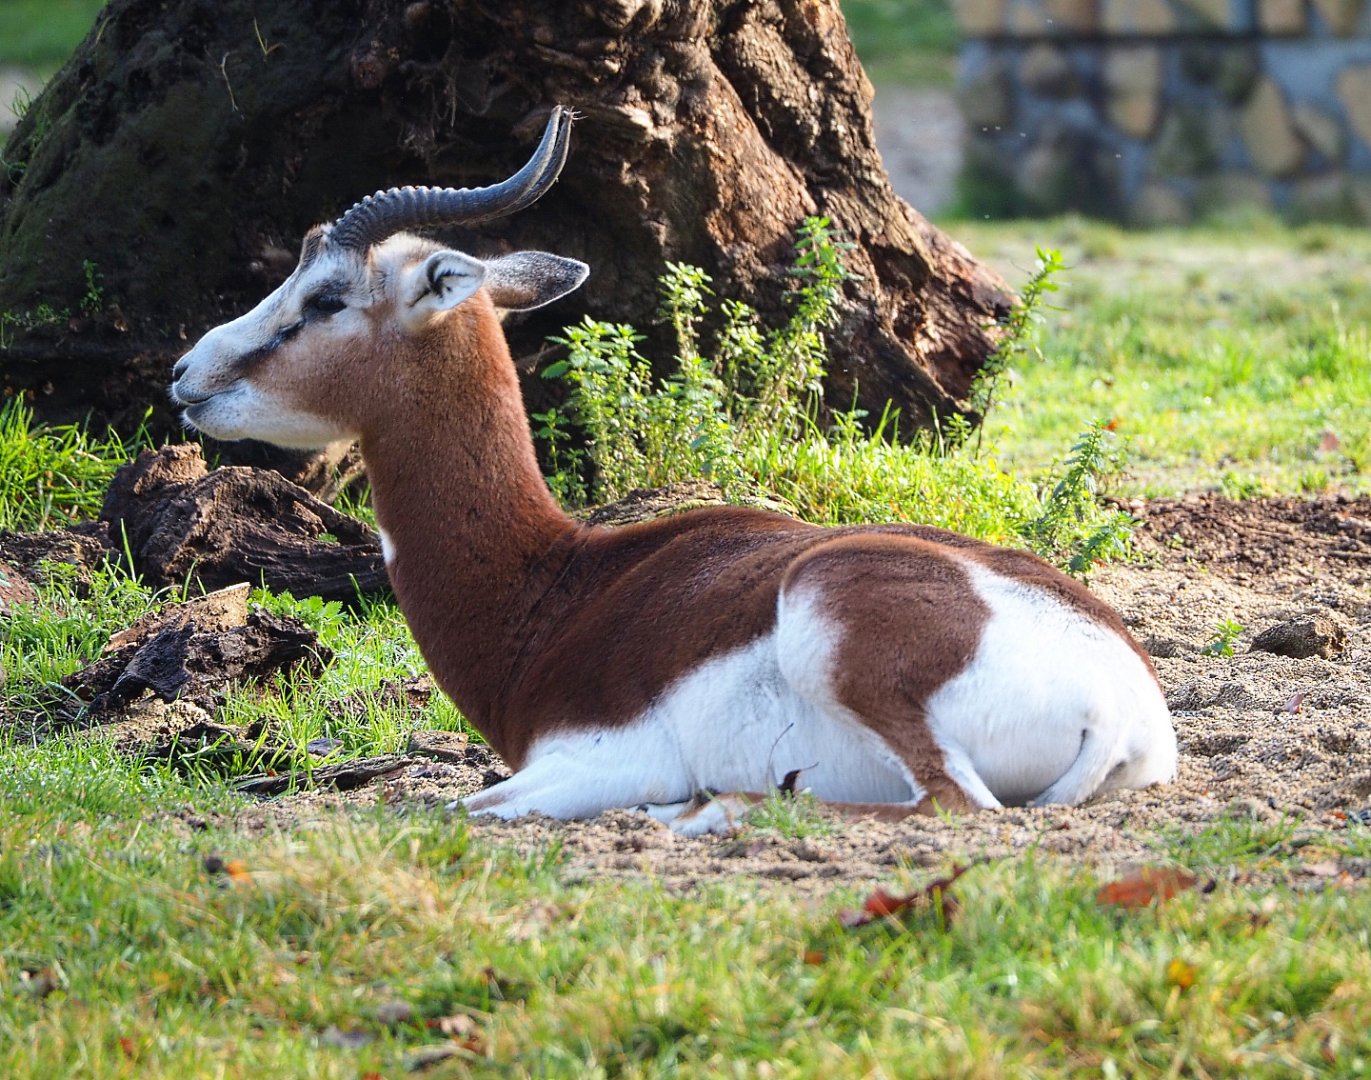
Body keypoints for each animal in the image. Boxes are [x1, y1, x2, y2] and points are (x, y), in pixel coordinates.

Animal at [171, 107, 1177, 835]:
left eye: (324, 298)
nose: (186, 374)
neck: (552, 589)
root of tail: (1120, 708)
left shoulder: (591, 762)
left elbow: (456, 802)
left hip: (833, 621)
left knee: (956, 806)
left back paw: (710, 809)